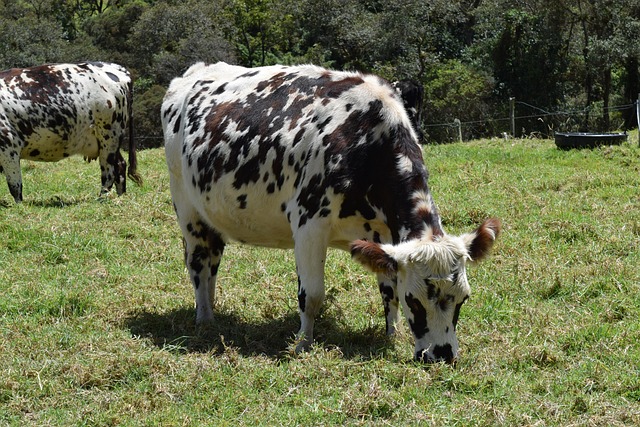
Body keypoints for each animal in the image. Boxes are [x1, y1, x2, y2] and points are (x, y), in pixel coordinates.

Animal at [0, 62, 142, 203]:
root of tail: (117, 68)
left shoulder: (9, 147)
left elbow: (15, 186)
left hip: (109, 136)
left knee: (109, 171)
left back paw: (103, 198)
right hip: (107, 141)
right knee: (120, 165)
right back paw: (120, 197)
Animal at [161, 62, 500, 363]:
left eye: (463, 299)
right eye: (415, 301)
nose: (442, 356)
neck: (365, 140)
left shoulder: (385, 235)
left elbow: (388, 288)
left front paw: (392, 334)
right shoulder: (309, 225)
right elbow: (311, 295)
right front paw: (303, 344)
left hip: (211, 218)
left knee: (212, 263)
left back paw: (212, 310)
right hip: (187, 210)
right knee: (198, 264)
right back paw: (204, 320)